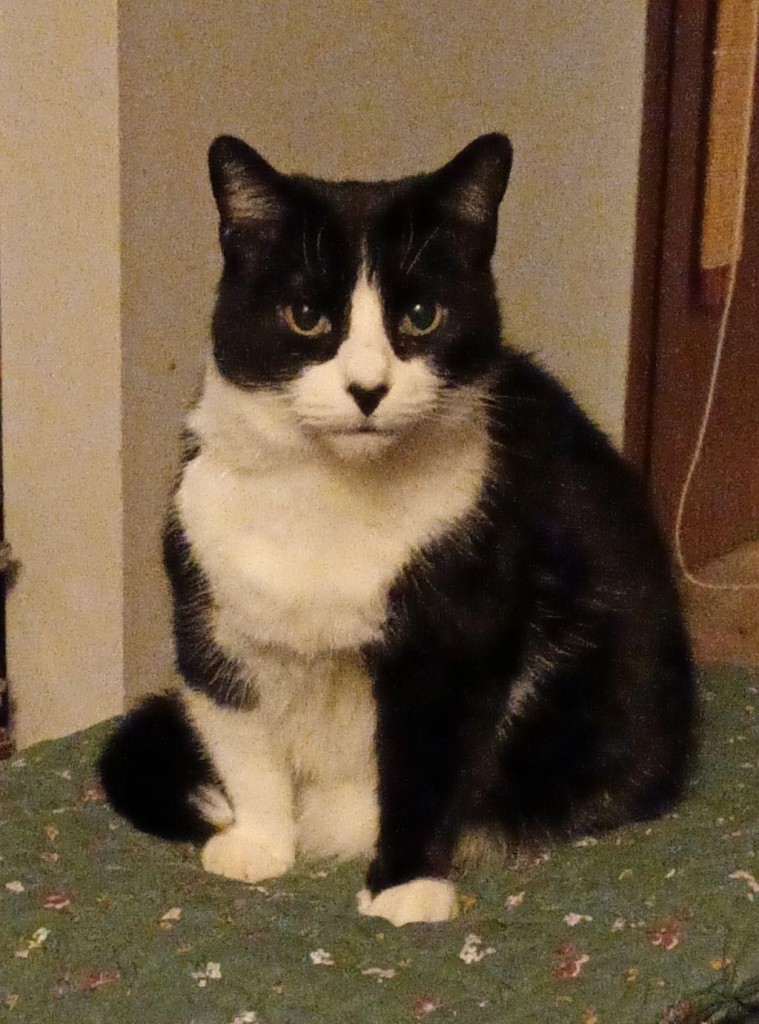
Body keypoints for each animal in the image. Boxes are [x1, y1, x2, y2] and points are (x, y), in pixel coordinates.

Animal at [99, 132, 692, 925]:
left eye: (419, 314)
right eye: (306, 315)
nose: (368, 389)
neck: (329, 499)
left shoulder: (457, 636)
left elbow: (428, 766)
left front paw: (405, 887)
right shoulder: (208, 610)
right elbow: (241, 738)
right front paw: (259, 843)